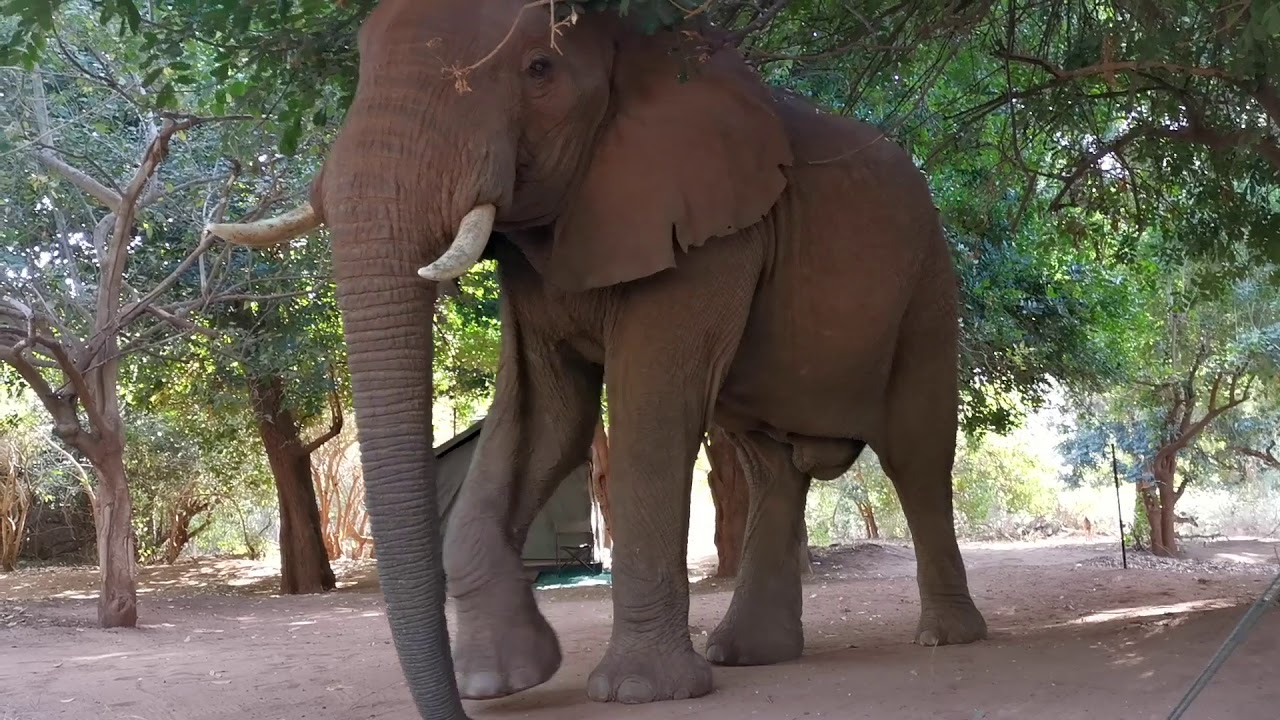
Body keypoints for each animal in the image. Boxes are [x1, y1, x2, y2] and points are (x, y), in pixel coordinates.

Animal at [207, 0, 988, 715]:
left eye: (539, 69)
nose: (452, 707)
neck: (630, 43)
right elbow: (543, 417)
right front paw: (502, 680)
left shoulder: (708, 229)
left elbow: (648, 412)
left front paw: (639, 691)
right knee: (771, 468)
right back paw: (747, 655)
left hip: (928, 281)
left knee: (917, 455)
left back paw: (947, 637)